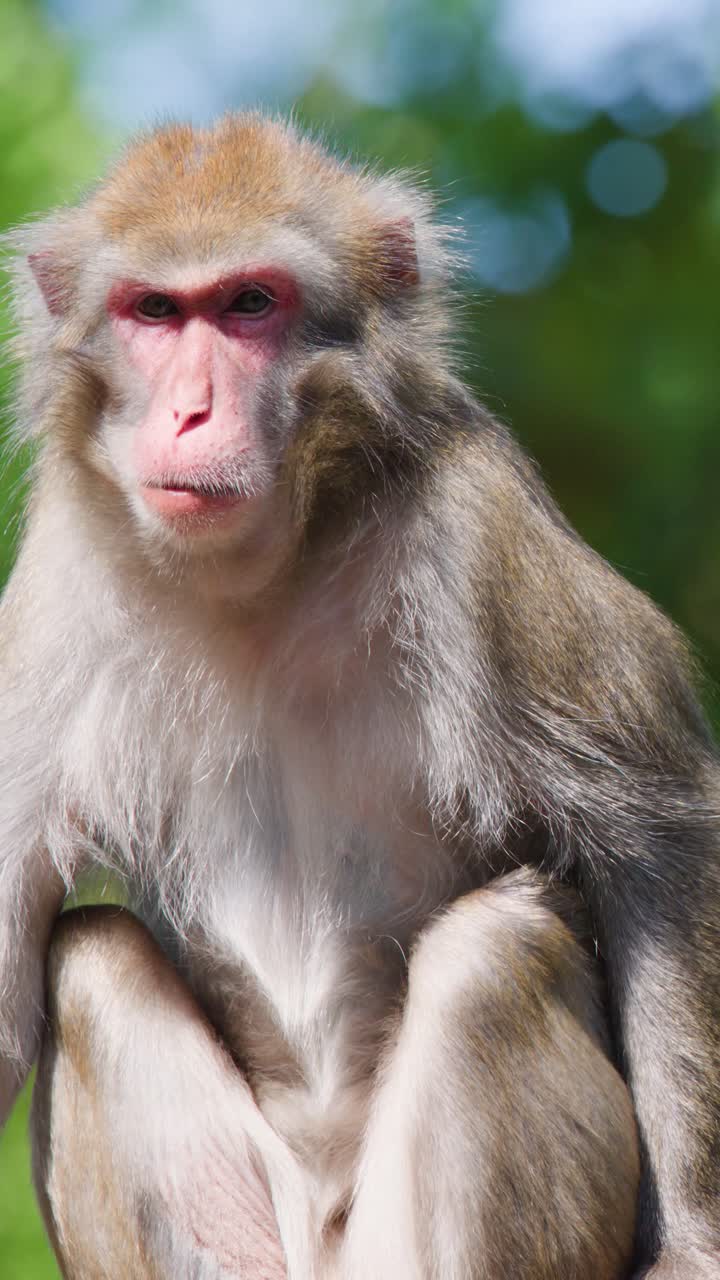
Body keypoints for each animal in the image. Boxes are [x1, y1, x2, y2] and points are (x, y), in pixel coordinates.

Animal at [0, 113, 718, 1279]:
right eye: (155, 310)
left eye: (250, 304)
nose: (189, 412)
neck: (262, 576)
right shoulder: (56, 589)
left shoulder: (476, 526)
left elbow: (661, 836)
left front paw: (694, 1240)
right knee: (91, 960)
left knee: (492, 952)